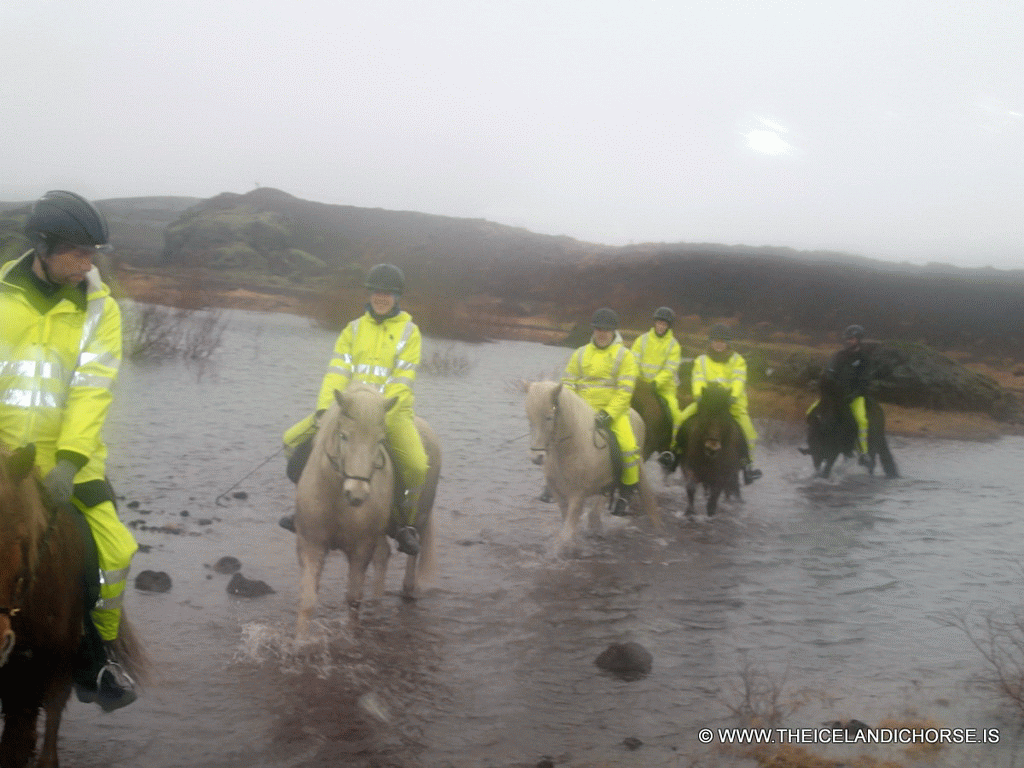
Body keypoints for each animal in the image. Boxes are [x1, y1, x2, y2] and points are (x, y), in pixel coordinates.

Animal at [294, 385, 442, 643]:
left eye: (380, 441)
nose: (357, 493)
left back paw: (408, 588)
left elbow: (353, 598)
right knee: (383, 556)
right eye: (344, 436)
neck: (337, 500)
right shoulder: (311, 544)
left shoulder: (361, 548)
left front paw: (352, 636)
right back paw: (377, 601)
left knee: (414, 551)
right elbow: (308, 600)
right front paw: (299, 643)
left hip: (420, 516)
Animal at [528, 380, 663, 552]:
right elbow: (567, 525)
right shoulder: (559, 494)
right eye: (529, 418)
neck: (572, 448)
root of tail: (636, 414)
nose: (536, 457)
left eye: (549, 417)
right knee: (596, 509)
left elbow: (566, 534)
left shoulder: (577, 495)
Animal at [679, 385, 745, 518]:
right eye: (706, 414)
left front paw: (711, 509)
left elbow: (717, 490)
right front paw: (690, 512)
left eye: (724, 417)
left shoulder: (724, 473)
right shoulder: (689, 465)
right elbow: (690, 486)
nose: (711, 448)